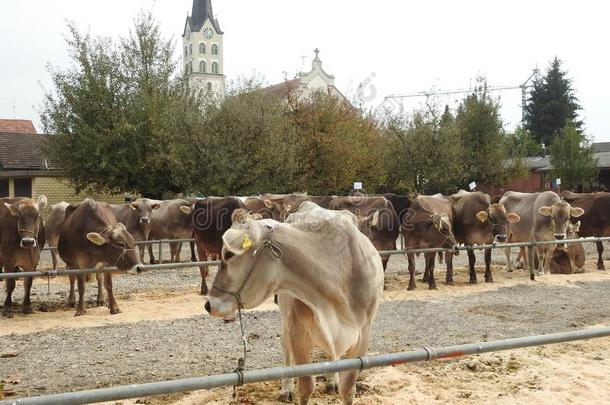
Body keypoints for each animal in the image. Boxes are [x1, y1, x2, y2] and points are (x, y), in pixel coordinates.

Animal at [204, 202, 382, 404]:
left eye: (228, 253)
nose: (209, 304)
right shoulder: (297, 330)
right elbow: (306, 386)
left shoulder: (363, 334)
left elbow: (348, 389)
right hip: (286, 317)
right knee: (285, 346)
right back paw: (287, 388)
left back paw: (331, 381)